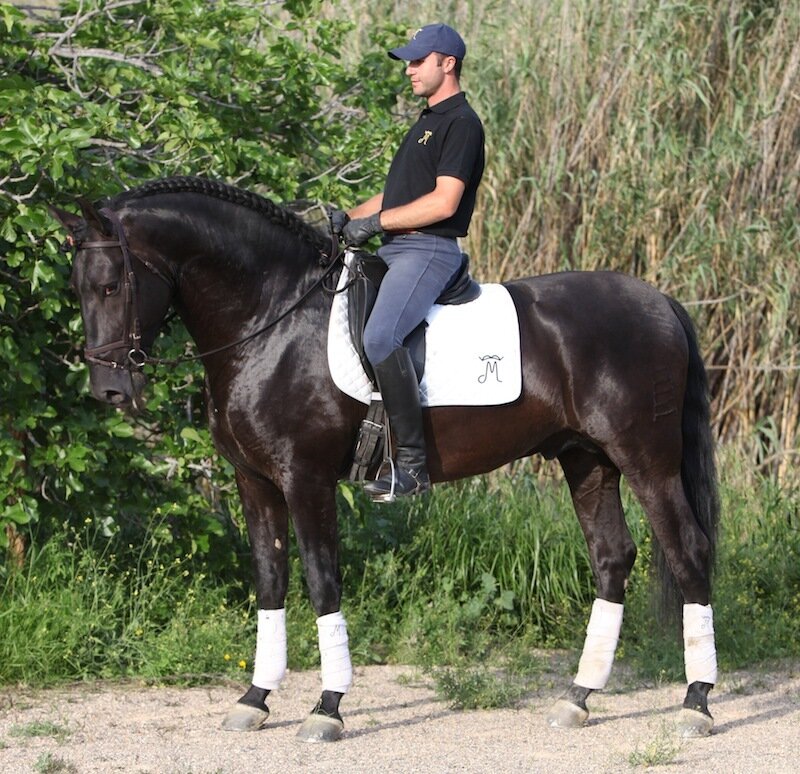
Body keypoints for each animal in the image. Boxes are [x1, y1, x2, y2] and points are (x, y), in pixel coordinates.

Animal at [50, 176, 720, 741]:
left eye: (111, 285)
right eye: (79, 288)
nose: (110, 392)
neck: (270, 318)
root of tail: (659, 302)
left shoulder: (305, 479)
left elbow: (321, 581)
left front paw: (326, 708)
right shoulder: (255, 481)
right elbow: (270, 580)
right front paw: (254, 699)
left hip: (646, 460)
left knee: (688, 552)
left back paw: (696, 704)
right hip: (586, 459)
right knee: (612, 558)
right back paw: (578, 698)